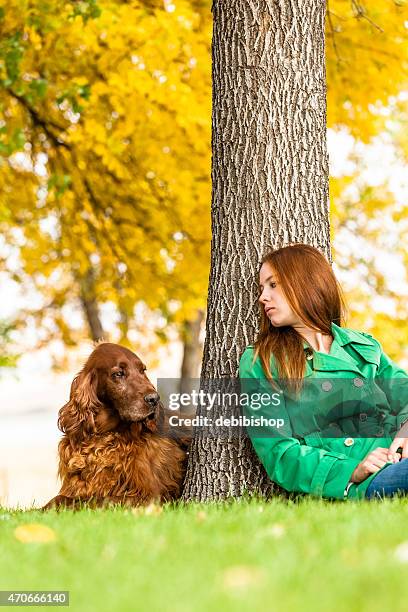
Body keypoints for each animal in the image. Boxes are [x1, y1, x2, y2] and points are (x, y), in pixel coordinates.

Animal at [43, 342, 190, 510]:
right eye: (119, 373)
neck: (106, 433)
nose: (154, 398)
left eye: (142, 370)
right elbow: (59, 498)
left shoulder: (151, 496)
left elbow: (97, 499)